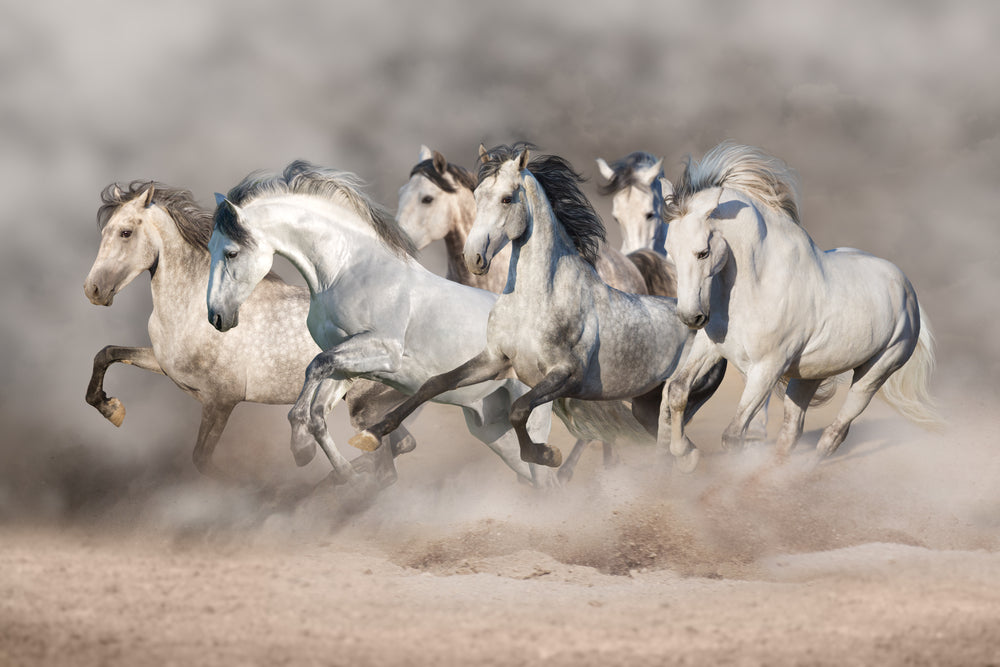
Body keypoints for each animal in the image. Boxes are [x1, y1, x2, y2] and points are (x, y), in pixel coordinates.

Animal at [83, 181, 414, 485]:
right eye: (105, 232)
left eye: (125, 232)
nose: (93, 290)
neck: (191, 307)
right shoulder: (163, 364)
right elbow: (107, 353)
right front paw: (111, 409)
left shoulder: (221, 400)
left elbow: (203, 459)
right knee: (400, 445)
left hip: (362, 408)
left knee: (388, 466)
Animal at [205, 160, 559, 487]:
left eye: (231, 253)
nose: (216, 316)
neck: (347, 272)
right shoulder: (347, 366)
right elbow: (319, 408)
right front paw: (343, 472)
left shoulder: (383, 351)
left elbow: (314, 367)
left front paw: (300, 447)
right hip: (494, 431)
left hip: (532, 418)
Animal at [355, 143, 726, 472]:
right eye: (477, 196)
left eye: (507, 198)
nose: (474, 257)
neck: (536, 300)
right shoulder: (494, 359)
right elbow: (434, 383)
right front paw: (372, 434)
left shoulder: (565, 375)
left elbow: (519, 410)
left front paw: (545, 455)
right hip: (646, 406)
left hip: (677, 398)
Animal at [661, 142, 939, 463]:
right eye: (669, 250)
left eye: (703, 252)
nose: (690, 317)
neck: (758, 286)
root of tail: (908, 291)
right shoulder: (712, 347)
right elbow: (678, 391)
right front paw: (685, 454)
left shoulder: (766, 369)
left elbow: (733, 435)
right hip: (809, 376)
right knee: (791, 432)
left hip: (874, 374)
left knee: (835, 433)